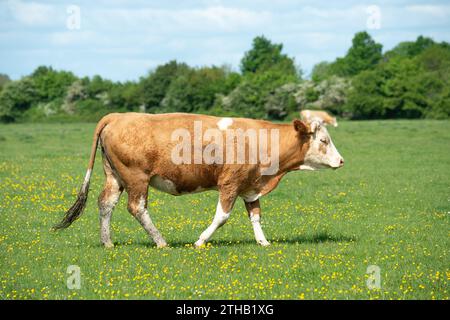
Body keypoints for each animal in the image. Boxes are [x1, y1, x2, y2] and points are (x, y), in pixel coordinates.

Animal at [53, 112, 344, 248]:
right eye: (323, 140)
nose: (341, 161)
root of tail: (118, 116)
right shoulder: (229, 184)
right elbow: (222, 217)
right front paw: (200, 241)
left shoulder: (250, 186)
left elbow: (256, 216)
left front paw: (263, 242)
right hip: (136, 178)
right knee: (137, 207)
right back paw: (160, 241)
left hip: (114, 176)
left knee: (106, 204)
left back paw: (108, 242)